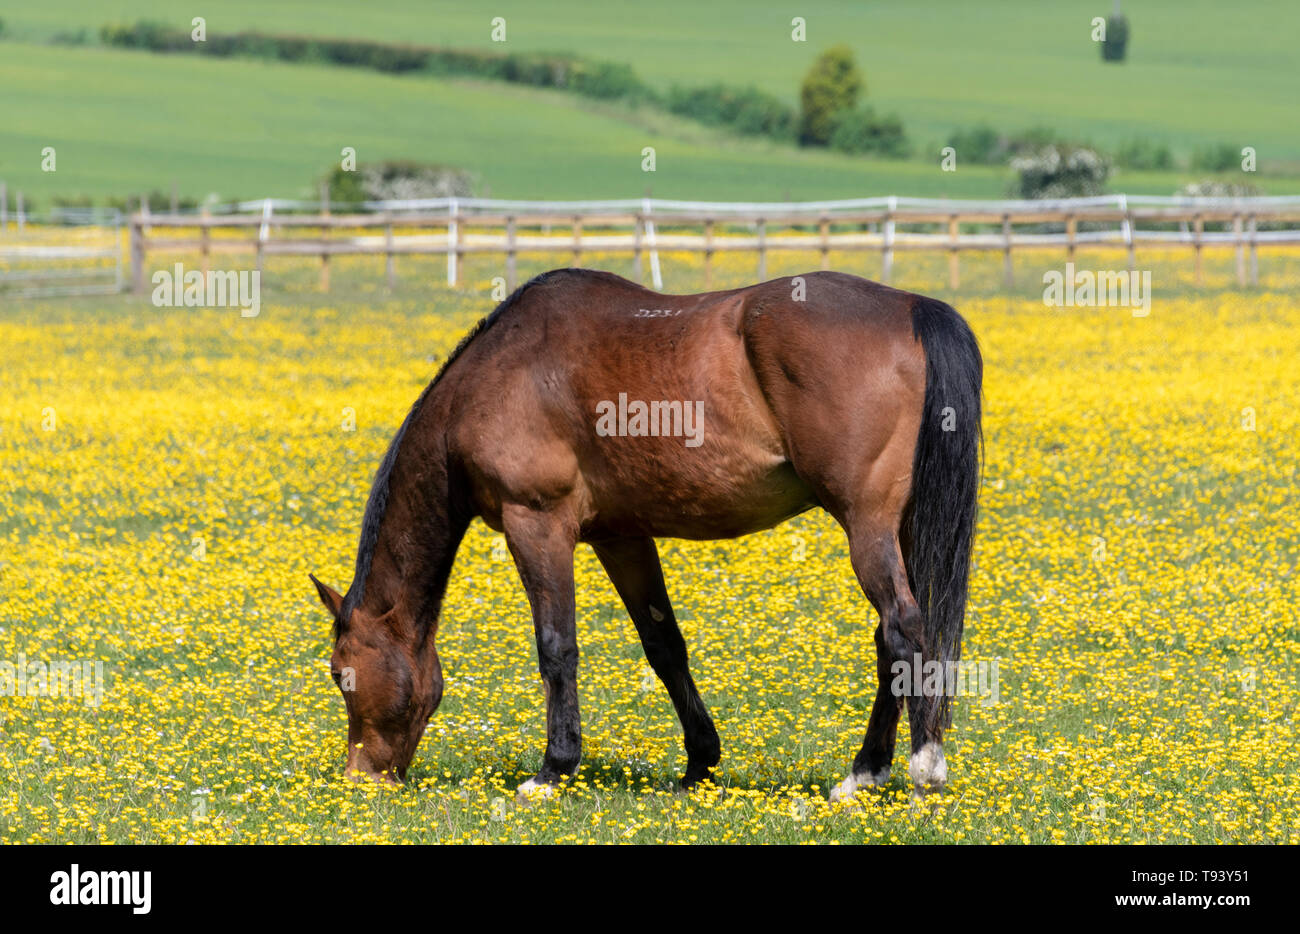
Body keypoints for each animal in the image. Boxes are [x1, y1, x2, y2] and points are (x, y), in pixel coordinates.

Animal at [306, 266, 977, 801]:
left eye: (341, 673)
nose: (361, 777)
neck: (500, 372)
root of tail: (913, 308)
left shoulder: (536, 524)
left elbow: (557, 647)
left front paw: (552, 771)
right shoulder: (621, 536)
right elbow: (664, 646)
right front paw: (700, 763)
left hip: (866, 526)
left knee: (902, 629)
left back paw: (911, 767)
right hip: (896, 528)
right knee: (889, 638)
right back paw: (867, 771)